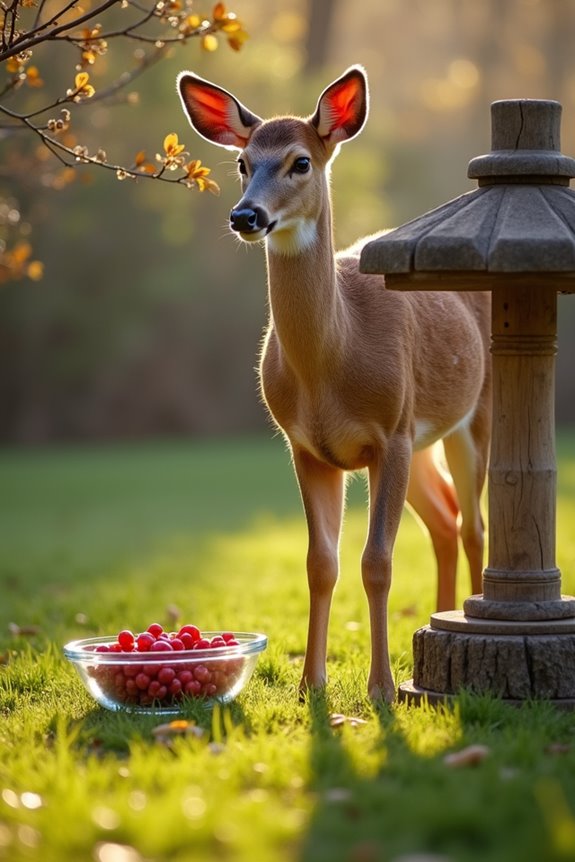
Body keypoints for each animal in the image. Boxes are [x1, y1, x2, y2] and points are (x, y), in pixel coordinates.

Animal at [177, 65, 491, 703]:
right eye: (242, 162)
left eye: (300, 161)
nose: (245, 216)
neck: (333, 363)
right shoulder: (307, 445)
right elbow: (321, 563)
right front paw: (310, 685)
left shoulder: (390, 433)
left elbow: (377, 562)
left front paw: (380, 689)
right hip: (421, 441)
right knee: (445, 521)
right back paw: (434, 627)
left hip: (473, 414)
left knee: (473, 526)